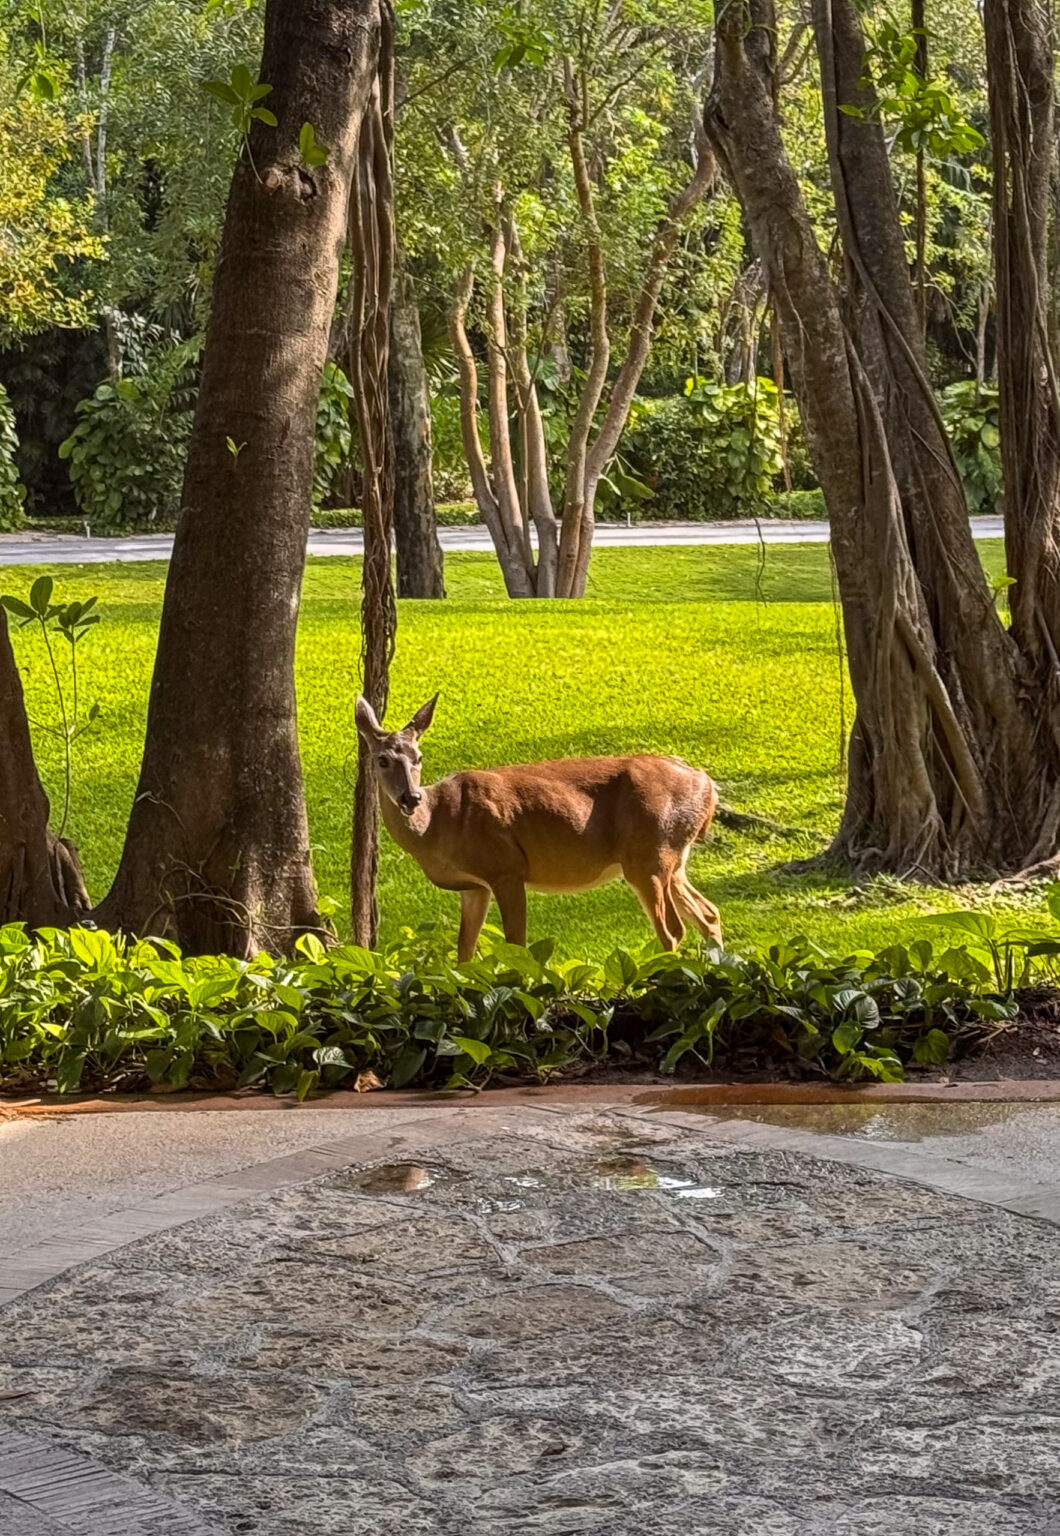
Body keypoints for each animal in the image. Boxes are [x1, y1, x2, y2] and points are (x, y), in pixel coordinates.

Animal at [354, 693, 723, 961]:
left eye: (419, 757)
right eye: (382, 759)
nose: (411, 797)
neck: (436, 826)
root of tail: (707, 784)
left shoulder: (506, 867)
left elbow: (516, 944)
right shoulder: (474, 887)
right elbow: (465, 951)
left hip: (649, 854)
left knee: (673, 930)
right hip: (672, 859)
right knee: (709, 914)